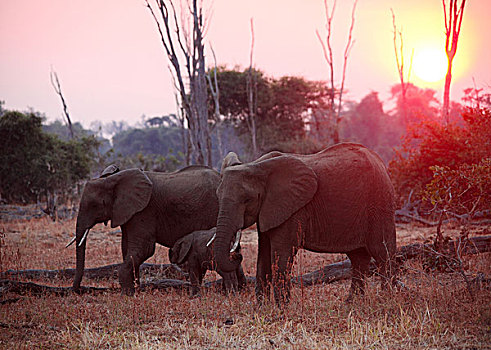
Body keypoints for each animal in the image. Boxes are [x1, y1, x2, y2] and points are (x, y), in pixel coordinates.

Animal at [68, 165, 221, 294]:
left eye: (94, 205)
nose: (79, 289)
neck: (112, 179)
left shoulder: (144, 211)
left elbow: (144, 249)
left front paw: (127, 294)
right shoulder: (128, 213)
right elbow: (126, 249)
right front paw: (135, 288)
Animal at [213, 144, 398, 304]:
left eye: (247, 200)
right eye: (217, 196)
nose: (236, 254)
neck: (256, 166)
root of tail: (379, 161)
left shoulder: (293, 210)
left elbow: (282, 254)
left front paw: (282, 310)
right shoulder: (268, 210)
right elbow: (263, 255)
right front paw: (263, 309)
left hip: (379, 203)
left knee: (382, 253)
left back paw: (387, 299)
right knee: (358, 257)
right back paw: (352, 303)